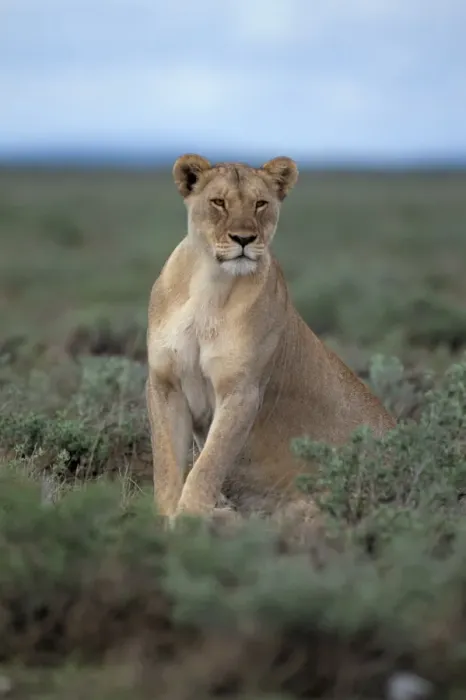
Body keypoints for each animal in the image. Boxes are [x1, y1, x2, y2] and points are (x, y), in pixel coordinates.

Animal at [146, 154, 396, 521]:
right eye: (218, 202)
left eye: (260, 204)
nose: (244, 239)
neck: (211, 284)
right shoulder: (165, 384)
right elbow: (166, 468)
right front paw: (162, 522)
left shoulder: (243, 391)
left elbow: (207, 467)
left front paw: (189, 522)